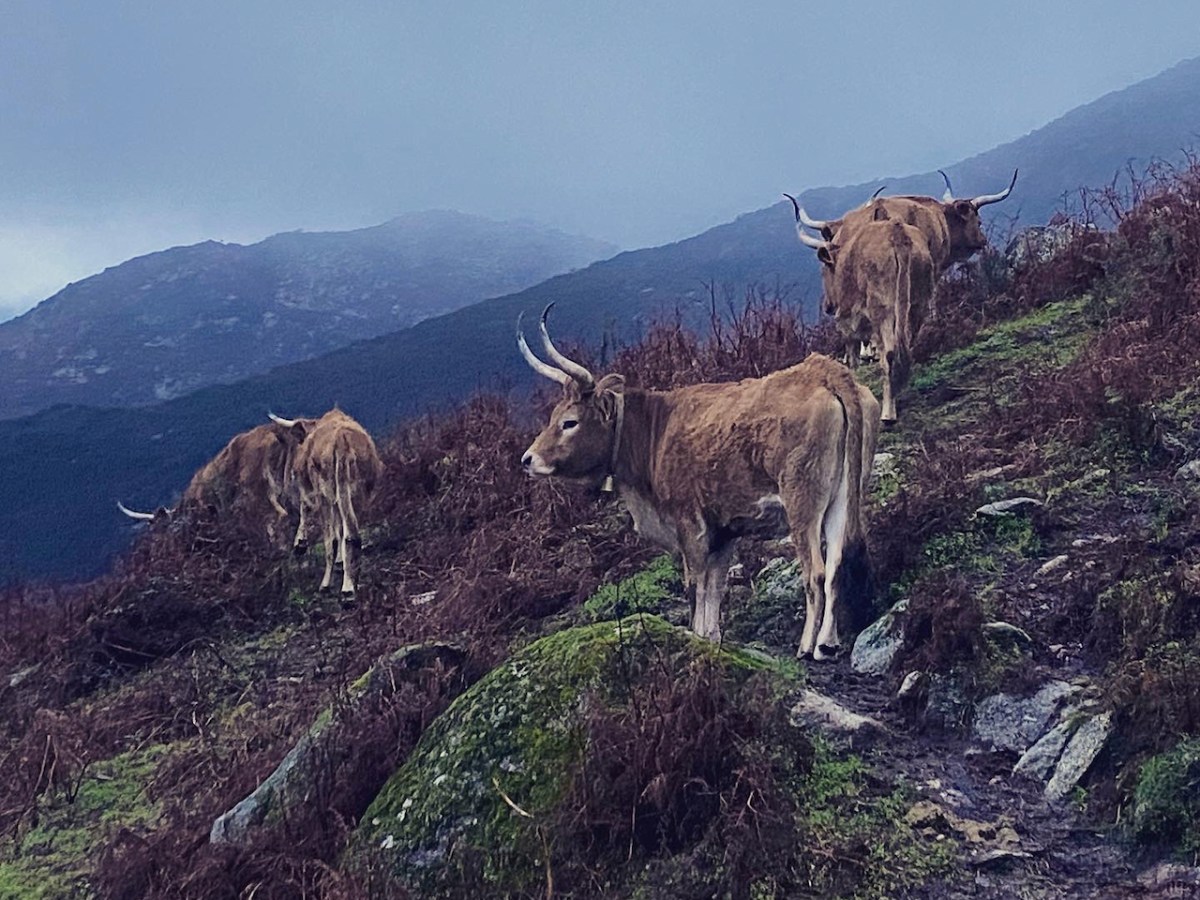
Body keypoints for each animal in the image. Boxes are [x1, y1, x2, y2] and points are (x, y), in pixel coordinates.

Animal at [270, 408, 383, 595]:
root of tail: (343, 441)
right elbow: (340, 528)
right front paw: (340, 562)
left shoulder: (319, 494)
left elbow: (308, 511)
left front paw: (300, 543)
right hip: (356, 494)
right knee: (352, 532)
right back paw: (352, 582)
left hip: (328, 493)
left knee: (335, 538)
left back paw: (336, 587)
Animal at [518, 305, 880, 659]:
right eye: (552, 417)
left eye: (569, 422)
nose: (528, 459)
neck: (654, 432)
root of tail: (827, 373)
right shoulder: (725, 530)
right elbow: (715, 586)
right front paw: (711, 637)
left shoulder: (689, 524)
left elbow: (696, 585)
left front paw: (696, 636)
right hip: (844, 497)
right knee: (836, 563)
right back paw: (826, 644)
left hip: (801, 501)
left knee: (815, 571)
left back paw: (806, 646)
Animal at [792, 214, 936, 425]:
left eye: (824, 270)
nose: (827, 306)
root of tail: (897, 232)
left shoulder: (846, 322)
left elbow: (852, 361)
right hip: (917, 303)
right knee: (905, 350)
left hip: (883, 309)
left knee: (890, 354)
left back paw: (888, 413)